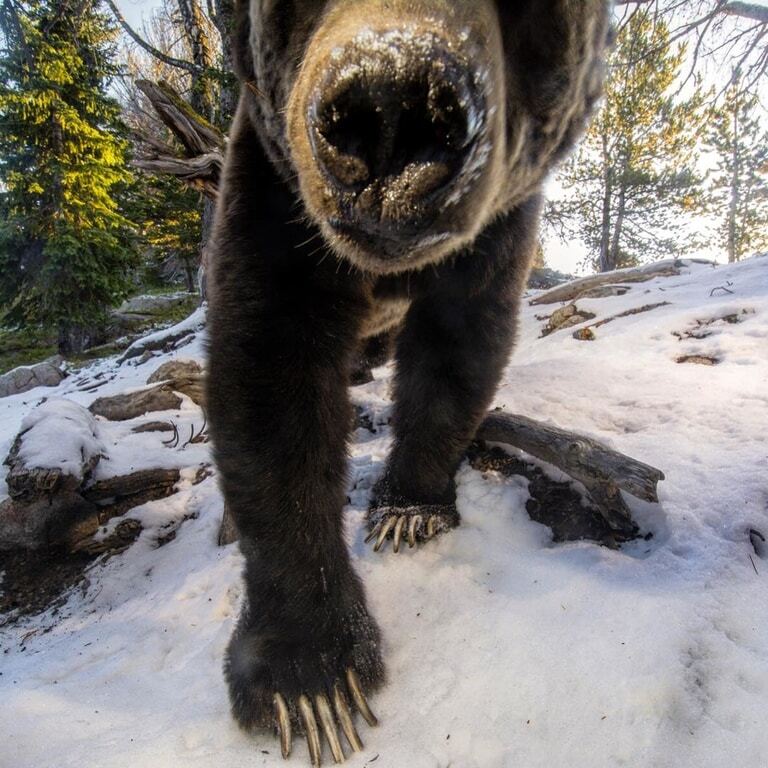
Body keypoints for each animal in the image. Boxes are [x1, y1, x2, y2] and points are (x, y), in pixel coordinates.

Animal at [206, 3, 612, 764]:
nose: (391, 107)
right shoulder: (273, 194)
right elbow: (270, 382)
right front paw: (313, 684)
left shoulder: (495, 226)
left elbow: (459, 348)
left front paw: (407, 511)